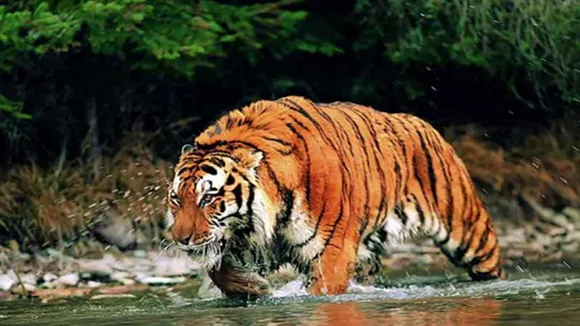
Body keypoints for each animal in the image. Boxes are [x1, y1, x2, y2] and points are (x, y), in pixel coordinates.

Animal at [165, 95, 506, 296]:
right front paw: (254, 288)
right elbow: (218, 269)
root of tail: (421, 122)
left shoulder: (331, 253)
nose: (181, 239)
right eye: (176, 199)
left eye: (208, 199)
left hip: (469, 232)